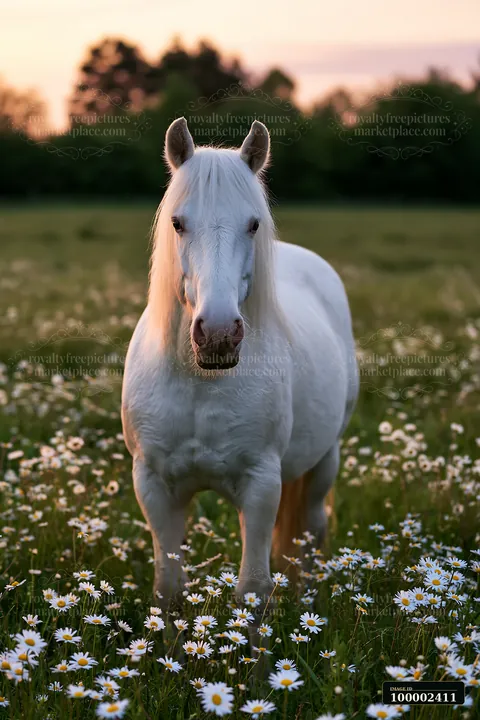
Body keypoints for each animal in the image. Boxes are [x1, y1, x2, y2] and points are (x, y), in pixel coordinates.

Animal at [121, 117, 358, 610]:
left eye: (253, 224)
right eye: (177, 222)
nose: (216, 333)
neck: (199, 382)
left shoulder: (261, 485)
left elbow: (252, 590)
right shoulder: (154, 487)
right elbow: (169, 590)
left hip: (324, 461)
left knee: (311, 531)